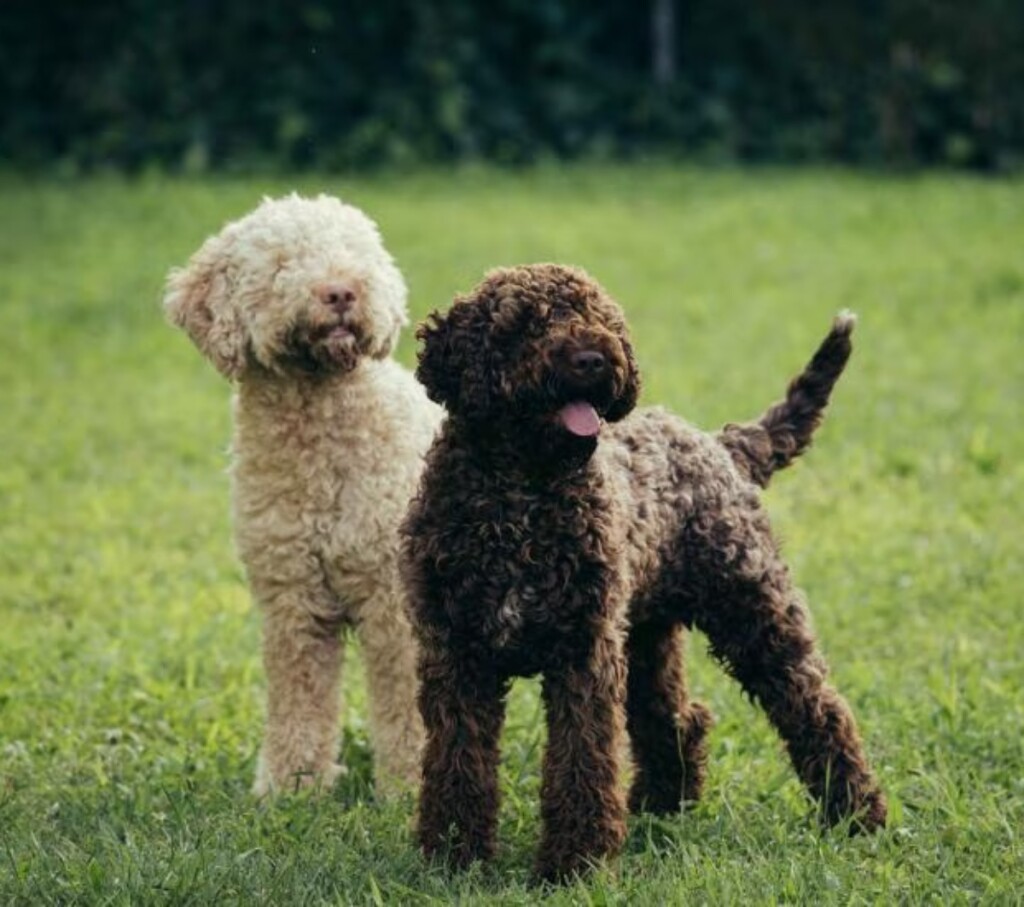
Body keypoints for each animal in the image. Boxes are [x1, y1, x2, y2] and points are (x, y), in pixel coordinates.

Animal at [163, 191, 440, 794]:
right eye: (281, 264)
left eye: (354, 253)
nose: (340, 291)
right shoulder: (292, 598)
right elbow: (299, 698)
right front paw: (292, 785)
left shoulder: (395, 602)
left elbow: (408, 705)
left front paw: (409, 788)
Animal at [403, 262, 884, 880]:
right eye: (528, 322)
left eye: (601, 317)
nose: (594, 358)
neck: (520, 498)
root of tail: (720, 445)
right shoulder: (457, 656)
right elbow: (458, 762)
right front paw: (454, 857)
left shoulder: (582, 656)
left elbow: (582, 760)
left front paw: (574, 865)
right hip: (646, 638)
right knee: (678, 718)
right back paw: (662, 806)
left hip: (755, 615)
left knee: (819, 710)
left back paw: (856, 812)